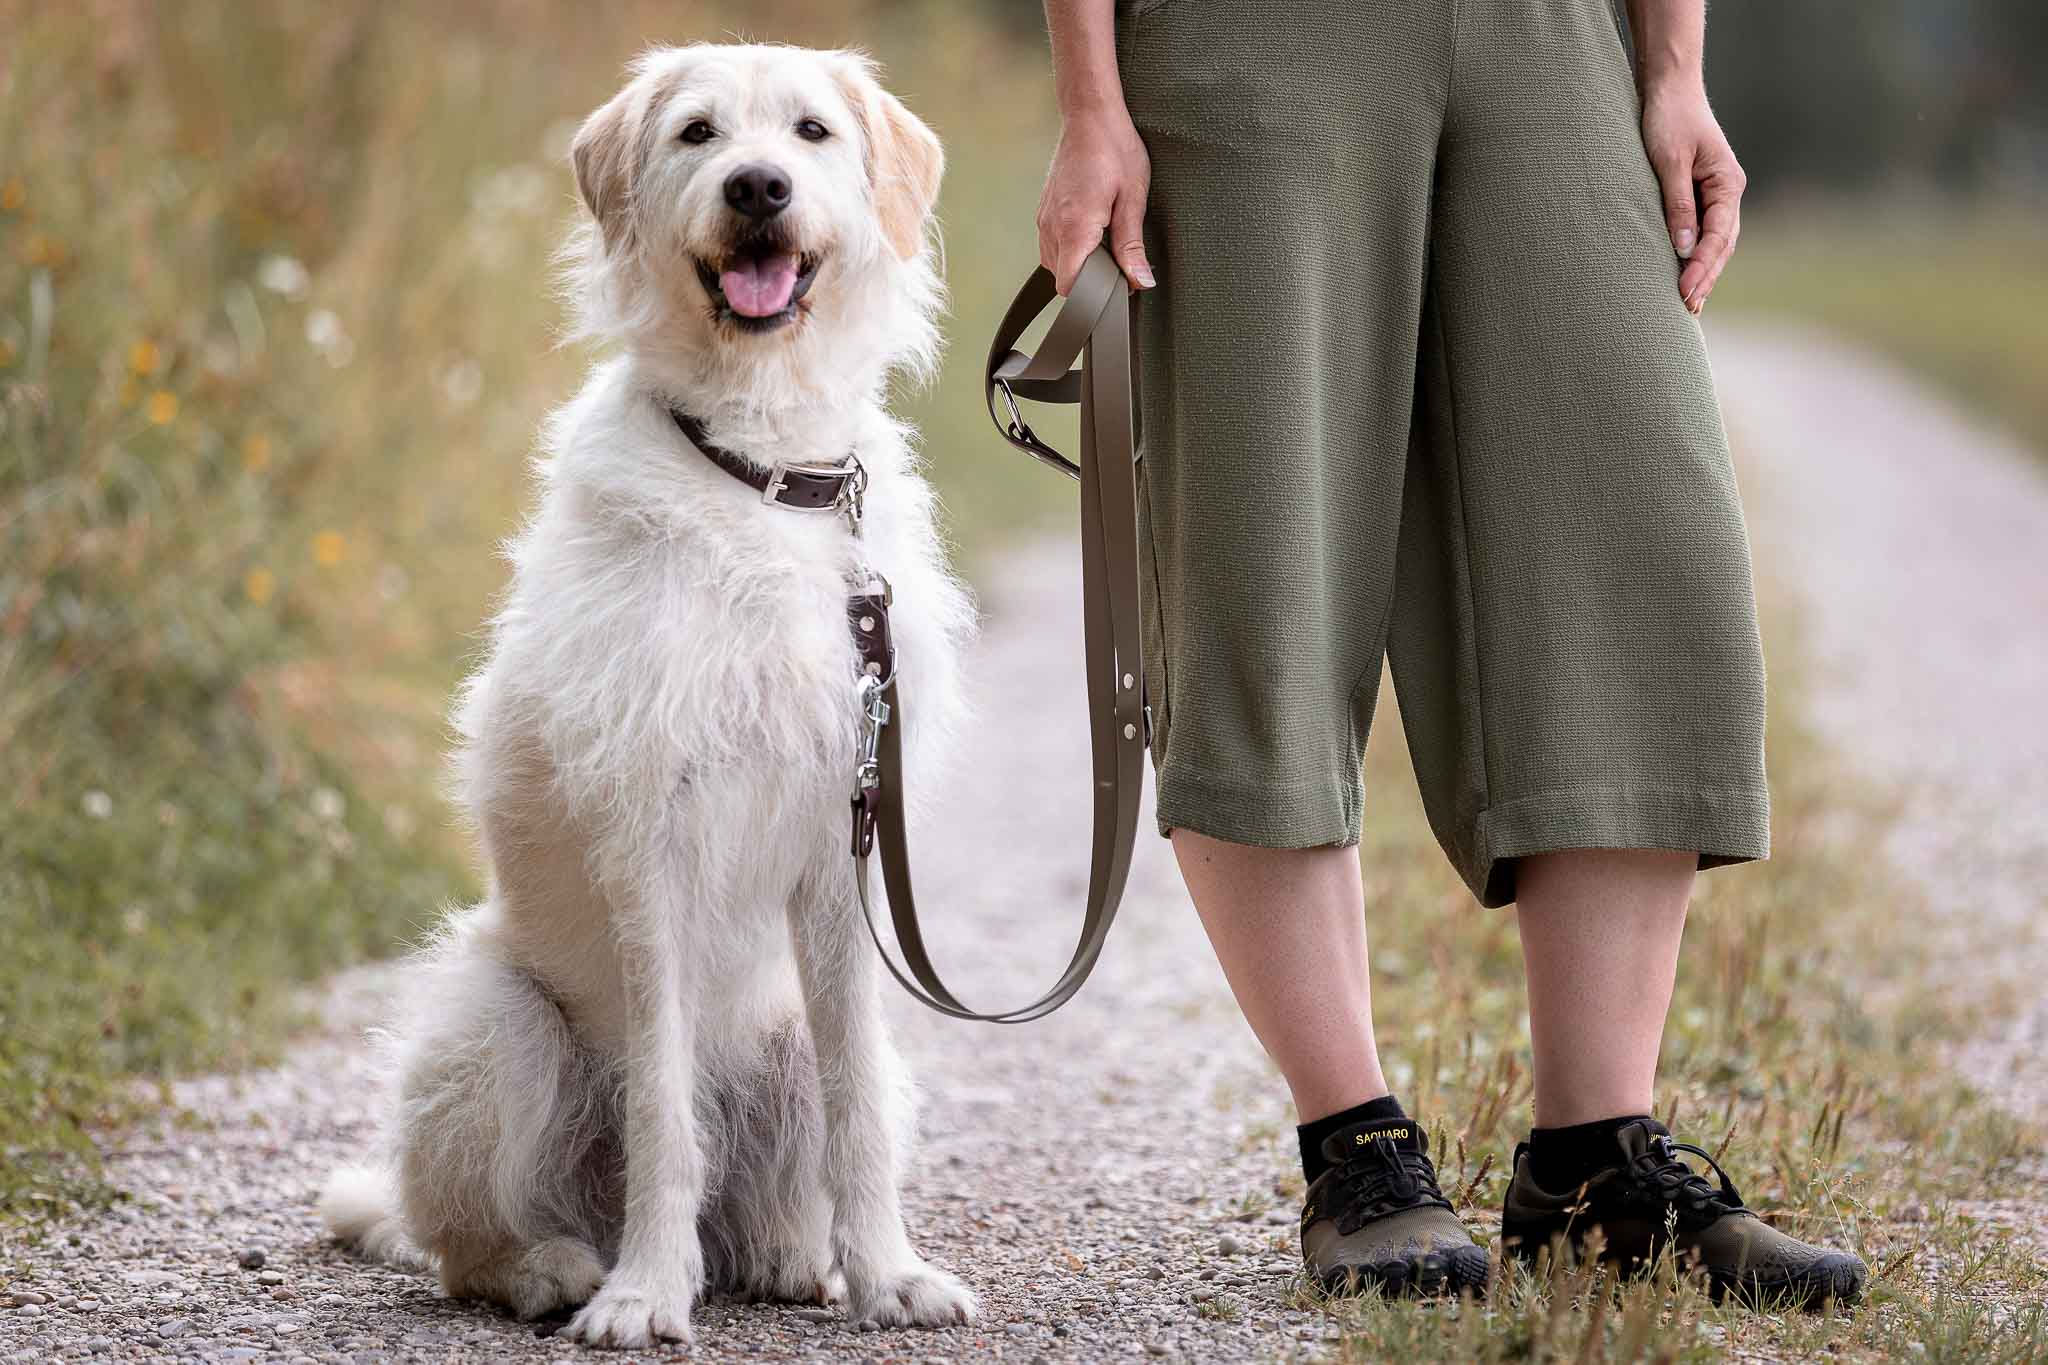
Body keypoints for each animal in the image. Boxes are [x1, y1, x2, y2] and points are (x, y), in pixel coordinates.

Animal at [319, 45, 974, 1358]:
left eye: (811, 132)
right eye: (697, 134)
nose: (758, 187)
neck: (761, 470)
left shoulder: (840, 847)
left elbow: (855, 1122)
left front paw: (886, 1274)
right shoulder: (650, 843)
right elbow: (664, 1113)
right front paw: (643, 1294)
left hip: (791, 1044)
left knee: (798, 1157)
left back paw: (793, 1259)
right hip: (497, 1032)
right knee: (466, 1242)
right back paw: (559, 1269)